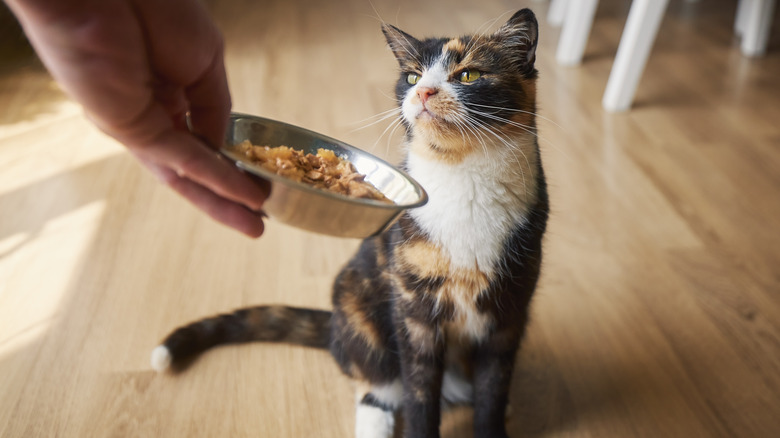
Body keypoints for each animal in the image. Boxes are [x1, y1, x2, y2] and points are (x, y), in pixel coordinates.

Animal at [151, 7, 548, 438]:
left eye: (469, 75)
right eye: (412, 77)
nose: (424, 92)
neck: (465, 177)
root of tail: (334, 328)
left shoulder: (509, 312)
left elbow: (494, 387)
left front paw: (493, 418)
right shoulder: (414, 314)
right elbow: (419, 394)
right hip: (358, 307)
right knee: (376, 387)